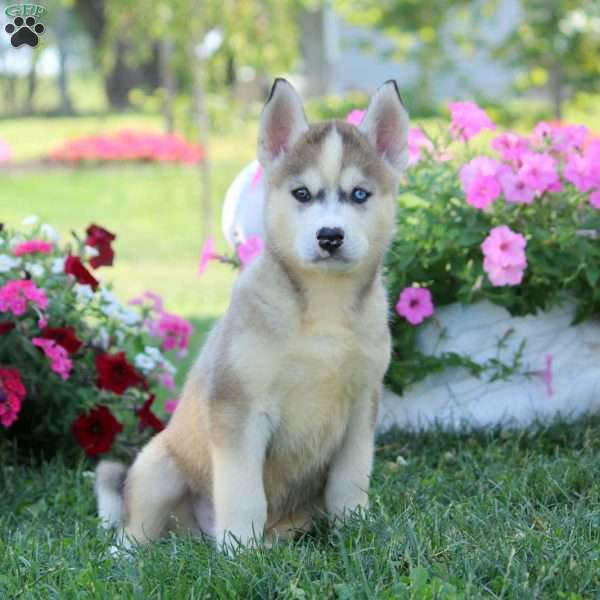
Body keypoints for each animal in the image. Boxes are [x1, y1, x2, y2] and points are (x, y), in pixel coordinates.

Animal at [96, 78, 410, 548]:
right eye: (302, 193)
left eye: (359, 194)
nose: (329, 236)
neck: (323, 310)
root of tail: (195, 534)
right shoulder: (238, 407)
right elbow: (243, 492)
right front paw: (240, 550)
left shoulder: (361, 405)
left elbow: (350, 480)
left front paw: (355, 527)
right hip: (158, 467)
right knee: (132, 528)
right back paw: (133, 551)